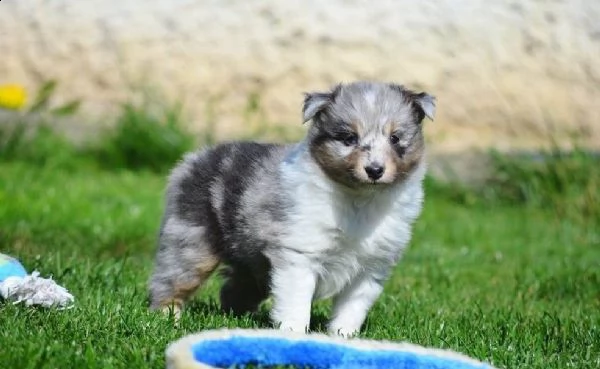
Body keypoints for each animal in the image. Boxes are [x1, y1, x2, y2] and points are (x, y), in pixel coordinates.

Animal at [148, 81, 434, 336]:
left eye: (395, 138)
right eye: (349, 138)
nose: (375, 170)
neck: (360, 199)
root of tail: (193, 158)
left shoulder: (371, 268)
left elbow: (351, 308)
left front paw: (344, 336)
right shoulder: (300, 255)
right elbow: (297, 303)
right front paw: (294, 333)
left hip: (252, 262)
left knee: (233, 290)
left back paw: (244, 319)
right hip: (192, 241)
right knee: (170, 281)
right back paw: (167, 317)